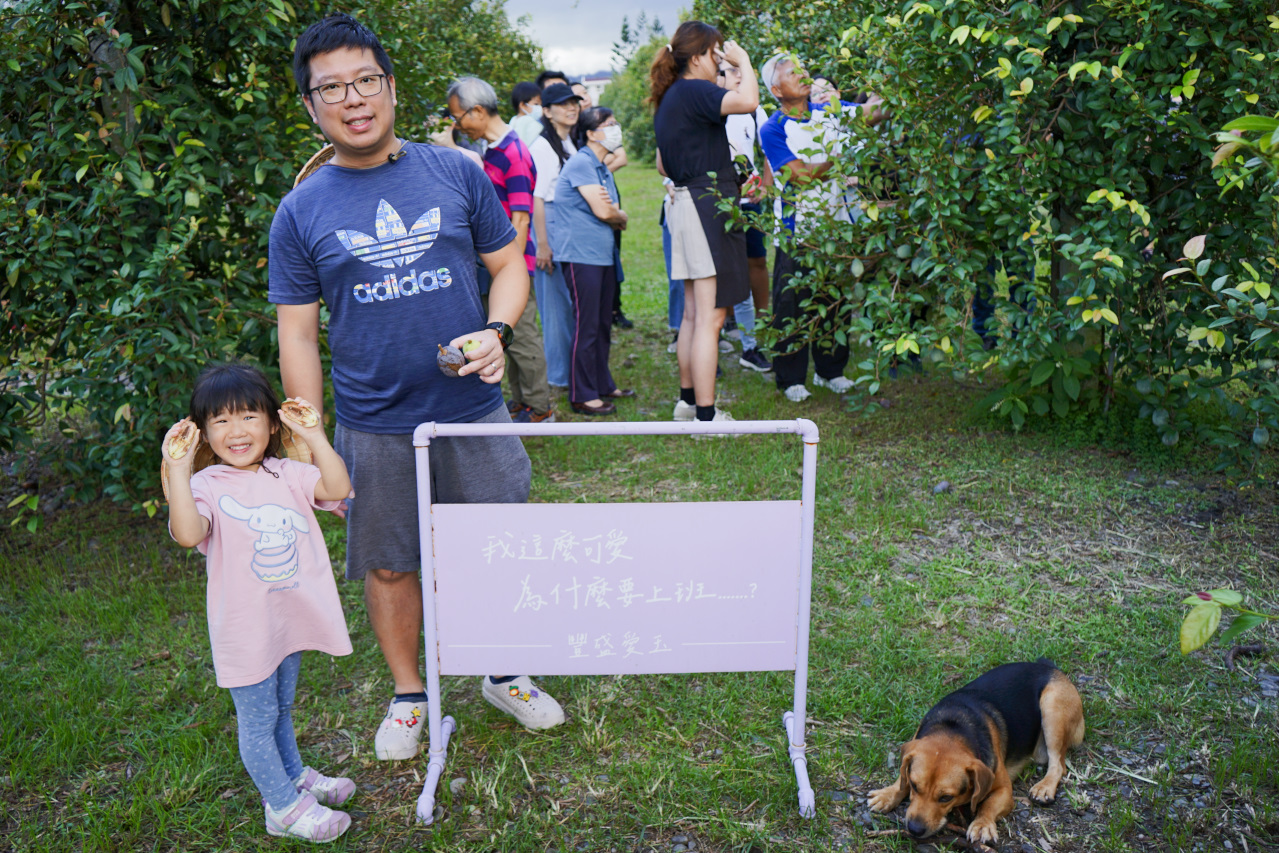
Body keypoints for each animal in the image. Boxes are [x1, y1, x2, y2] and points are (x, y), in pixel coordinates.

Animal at [864, 659, 1084, 844]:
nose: (915, 830)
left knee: (1058, 764)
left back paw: (1044, 787)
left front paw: (982, 824)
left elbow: (988, 805)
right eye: (914, 786)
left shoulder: (1004, 790)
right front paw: (888, 794)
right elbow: (901, 777)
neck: (953, 727)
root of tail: (1049, 667)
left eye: (946, 798)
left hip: (1052, 708)